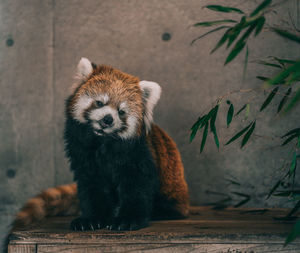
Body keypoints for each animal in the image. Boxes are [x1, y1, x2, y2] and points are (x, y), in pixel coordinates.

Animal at [5, 56, 189, 235]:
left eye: (121, 112)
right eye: (100, 103)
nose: (108, 119)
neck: (102, 142)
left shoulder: (137, 154)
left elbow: (137, 187)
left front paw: (127, 219)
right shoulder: (82, 153)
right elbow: (92, 187)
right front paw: (91, 219)